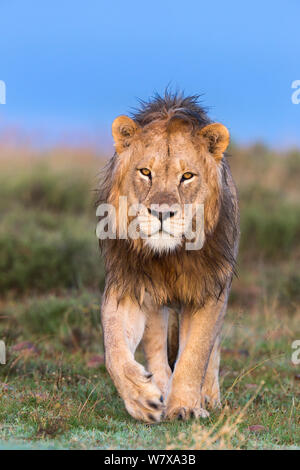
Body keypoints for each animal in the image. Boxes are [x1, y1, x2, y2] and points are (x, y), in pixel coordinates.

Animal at [98, 92, 239, 422]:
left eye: (187, 176)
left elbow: (196, 353)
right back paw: (160, 389)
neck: (170, 256)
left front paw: (186, 406)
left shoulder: (210, 289)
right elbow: (114, 348)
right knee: (156, 349)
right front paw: (141, 398)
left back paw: (207, 397)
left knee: (211, 349)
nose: (162, 213)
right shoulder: (128, 285)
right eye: (145, 172)